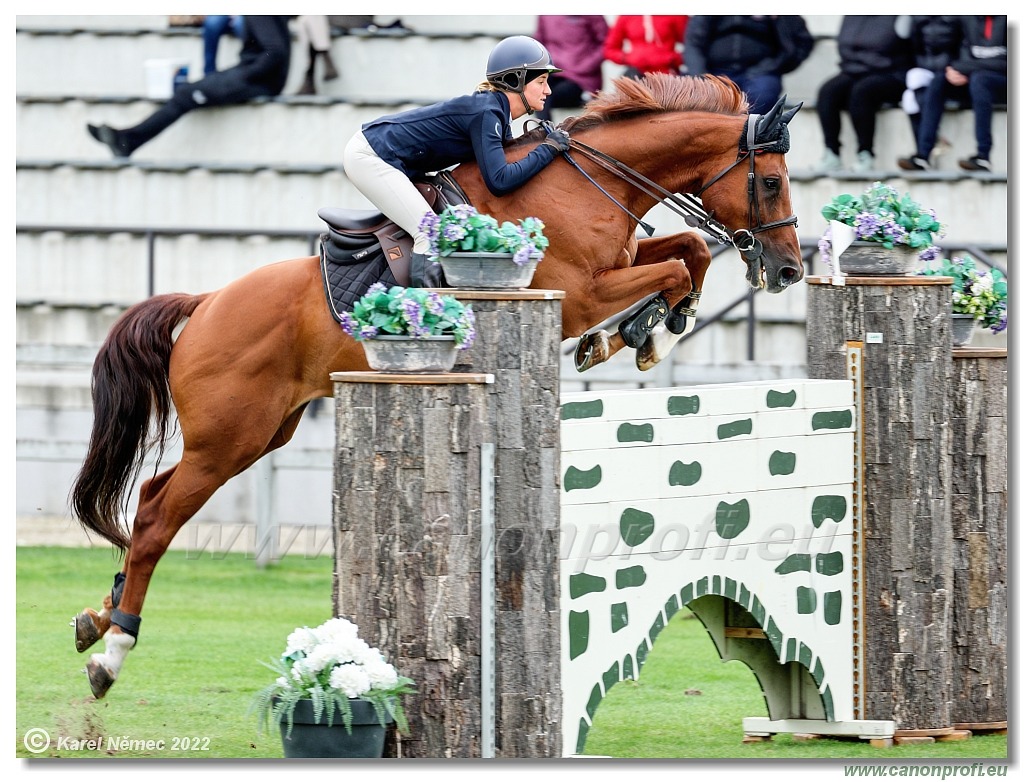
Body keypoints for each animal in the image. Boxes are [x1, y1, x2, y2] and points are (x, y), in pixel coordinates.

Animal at [74, 71, 806, 696]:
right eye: (771, 182)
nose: (790, 271)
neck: (587, 181)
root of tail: (205, 304)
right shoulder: (575, 293)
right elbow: (678, 266)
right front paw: (636, 334)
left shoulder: (614, 269)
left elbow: (685, 253)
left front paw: (643, 334)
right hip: (230, 438)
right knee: (158, 518)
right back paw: (113, 653)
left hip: (258, 434)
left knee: (151, 499)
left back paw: (98, 617)